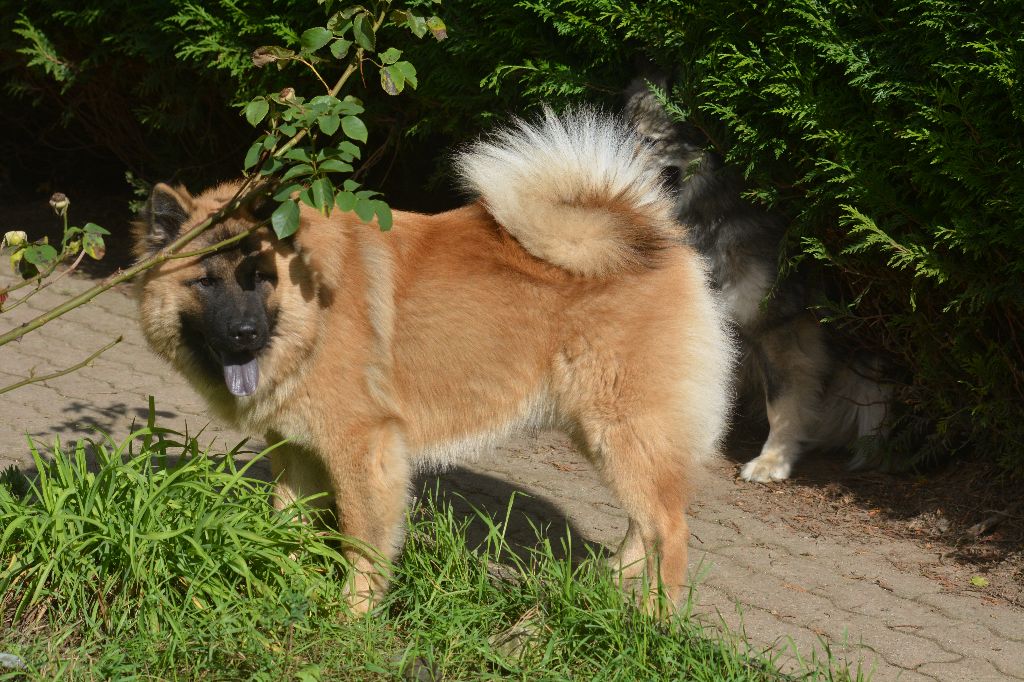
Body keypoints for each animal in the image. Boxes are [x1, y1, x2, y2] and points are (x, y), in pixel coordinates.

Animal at [132, 108, 735, 613]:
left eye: (258, 278)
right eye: (205, 283)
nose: (246, 332)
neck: (313, 308)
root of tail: (662, 240)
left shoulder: (364, 448)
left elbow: (361, 541)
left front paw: (353, 616)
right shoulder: (298, 447)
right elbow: (290, 522)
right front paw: (285, 579)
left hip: (623, 428)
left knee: (669, 530)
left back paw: (654, 620)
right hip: (604, 435)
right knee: (646, 520)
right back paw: (608, 583)